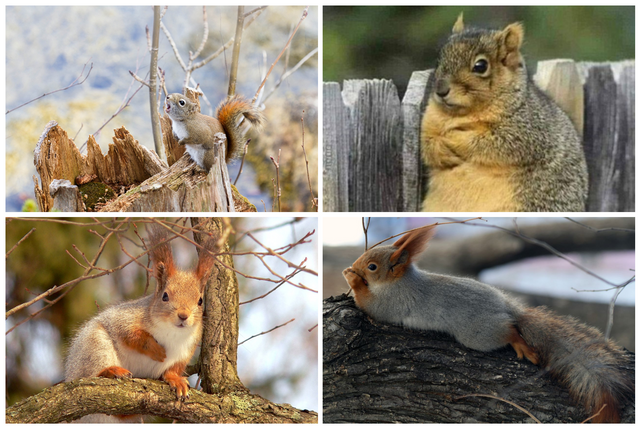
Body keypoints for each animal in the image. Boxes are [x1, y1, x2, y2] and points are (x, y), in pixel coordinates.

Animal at [64, 226, 218, 422]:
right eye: (165, 296)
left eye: (200, 301)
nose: (183, 316)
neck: (172, 332)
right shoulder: (125, 319)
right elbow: (129, 334)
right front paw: (156, 350)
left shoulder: (186, 351)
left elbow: (173, 369)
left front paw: (176, 380)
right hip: (94, 346)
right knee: (92, 373)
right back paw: (111, 371)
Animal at [342, 227, 632, 424]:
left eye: (372, 266)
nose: (353, 265)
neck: (400, 281)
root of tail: (508, 307)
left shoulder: (393, 303)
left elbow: (370, 305)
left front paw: (352, 279)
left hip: (479, 334)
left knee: (511, 331)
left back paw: (522, 345)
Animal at [420, 14, 592, 212]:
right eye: (439, 59)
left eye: (480, 66)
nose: (440, 91)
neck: (461, 114)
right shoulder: (429, 122)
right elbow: (427, 144)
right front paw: (441, 150)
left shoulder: (529, 131)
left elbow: (492, 143)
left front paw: (453, 138)